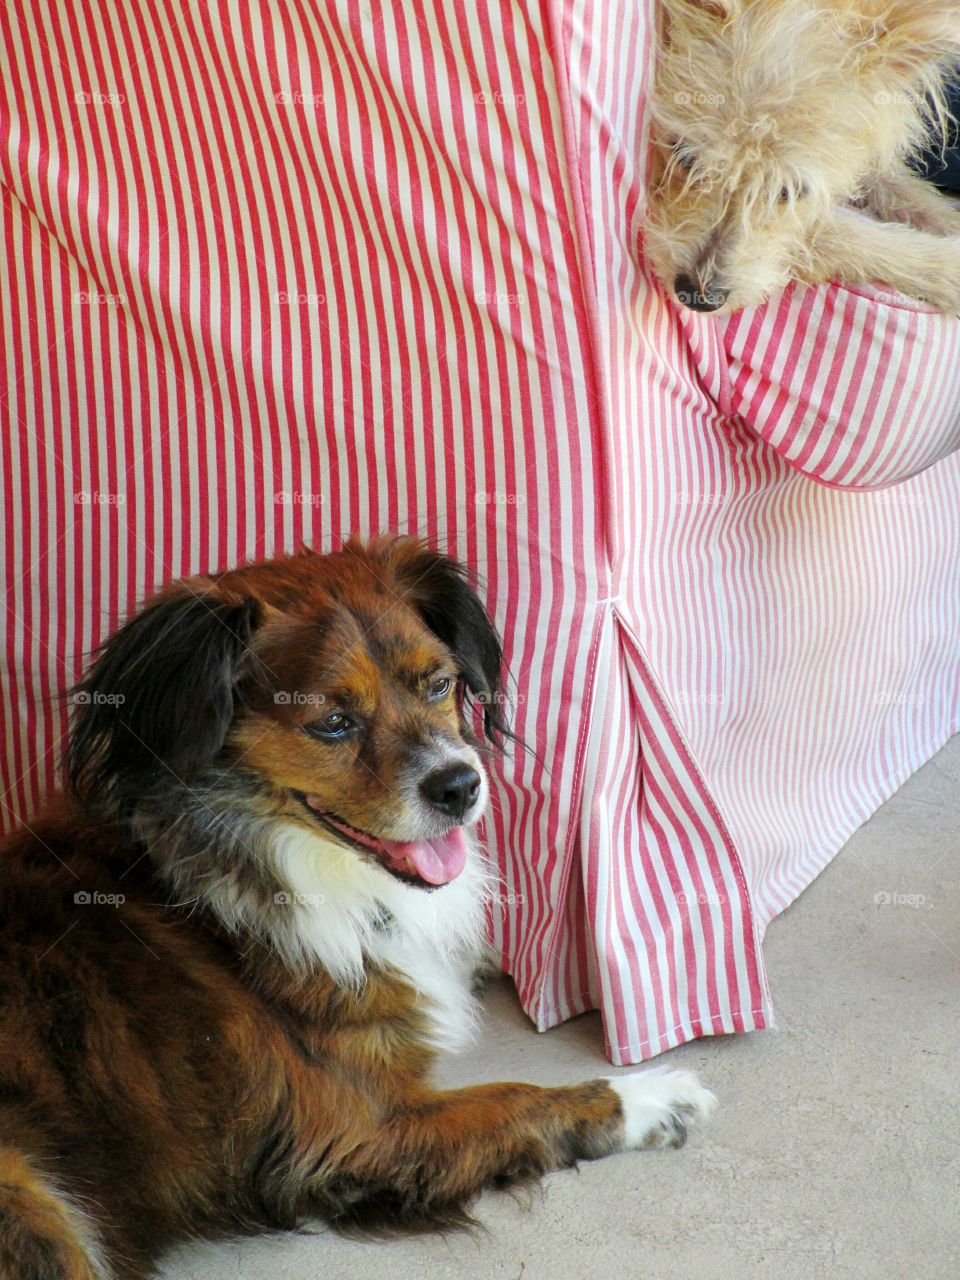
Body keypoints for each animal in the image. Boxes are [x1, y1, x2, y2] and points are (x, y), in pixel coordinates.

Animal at [0, 540, 716, 1280]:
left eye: (437, 684)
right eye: (332, 723)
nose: (461, 786)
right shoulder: (356, 1132)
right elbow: (515, 1098)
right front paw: (652, 1096)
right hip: (34, 1204)